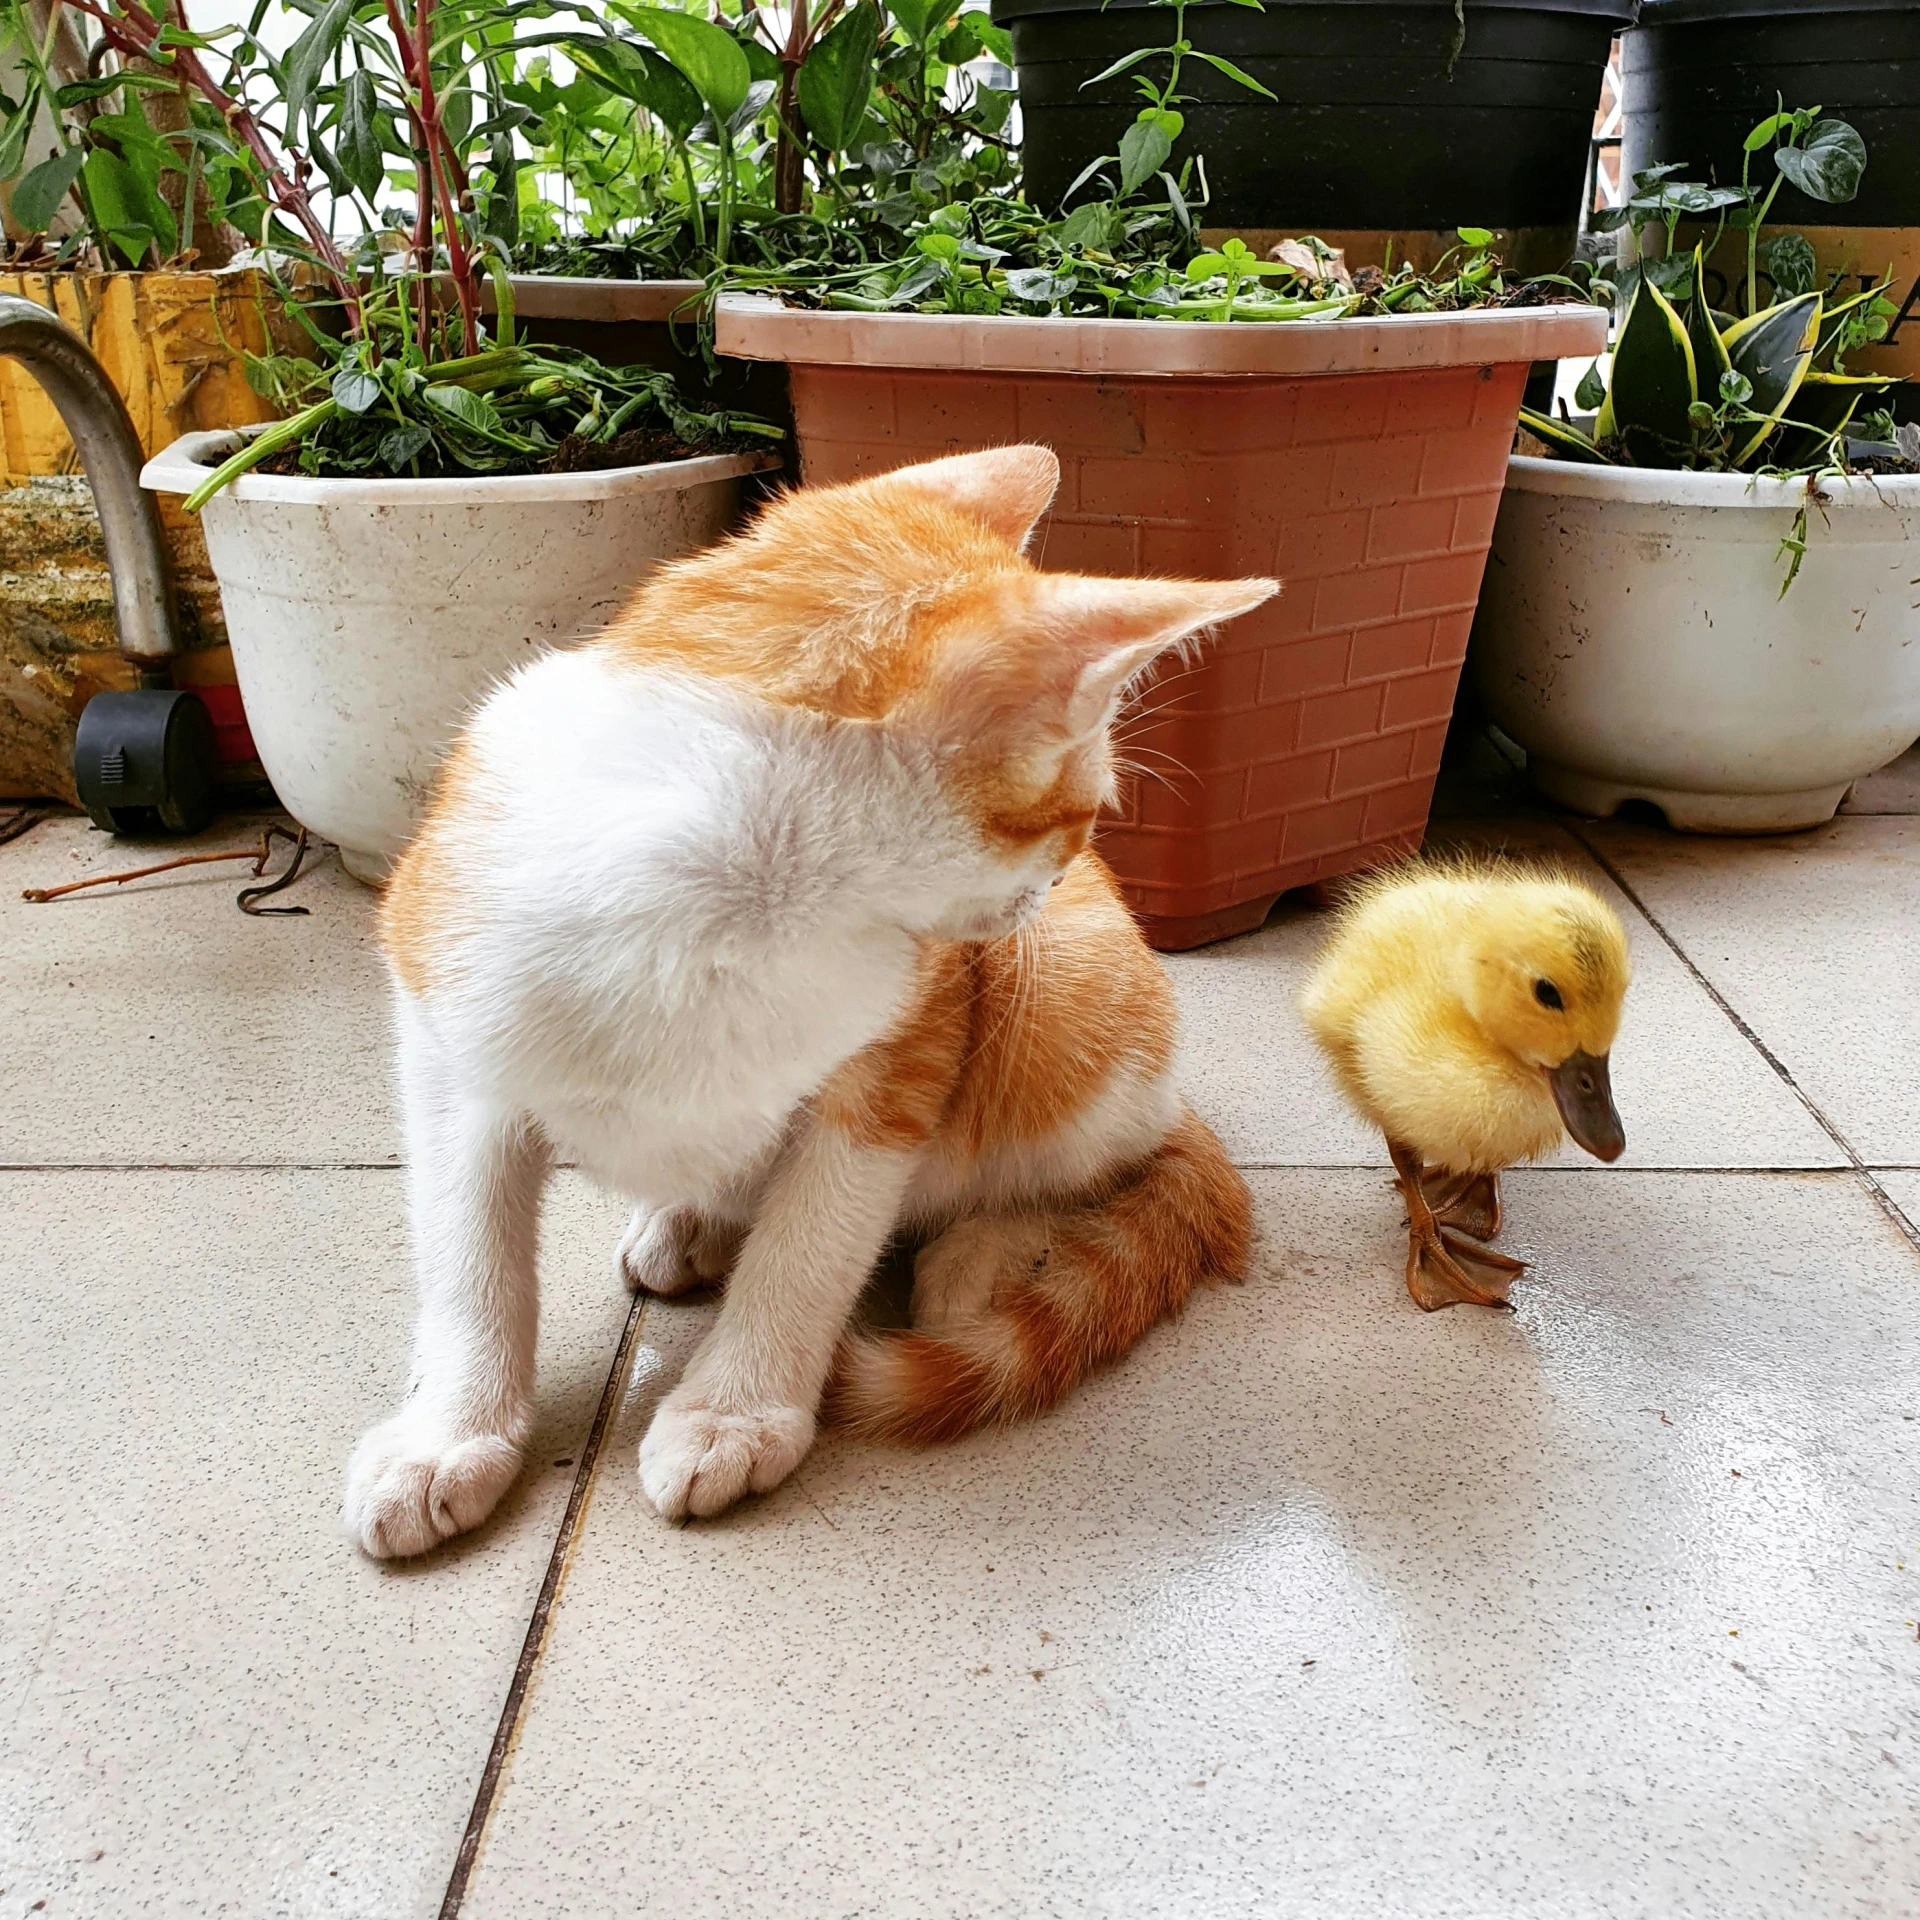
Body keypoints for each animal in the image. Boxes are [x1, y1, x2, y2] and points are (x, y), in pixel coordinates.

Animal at [345, 441, 1274, 1551]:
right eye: (1080, 816)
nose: (1048, 890)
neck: (715, 916)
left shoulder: (908, 1045)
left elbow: (814, 1239)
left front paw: (735, 1410)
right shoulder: (446, 1036)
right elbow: (466, 1251)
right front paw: (451, 1430)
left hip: (1065, 1002)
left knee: (1092, 1161)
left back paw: (985, 1256)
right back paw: (690, 1221)